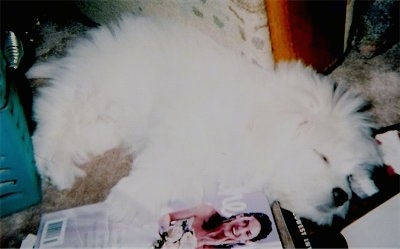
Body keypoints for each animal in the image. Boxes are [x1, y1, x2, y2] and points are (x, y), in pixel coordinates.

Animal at [26, 16, 382, 228]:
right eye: (322, 156)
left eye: (350, 177)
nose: (342, 195)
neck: (257, 127)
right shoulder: (182, 138)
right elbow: (157, 171)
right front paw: (125, 206)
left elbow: (178, 183)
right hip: (88, 90)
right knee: (50, 118)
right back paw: (53, 168)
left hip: (103, 124)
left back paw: (59, 168)